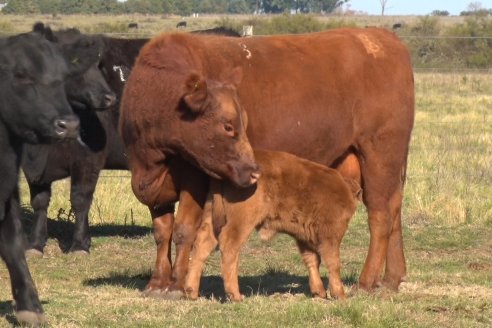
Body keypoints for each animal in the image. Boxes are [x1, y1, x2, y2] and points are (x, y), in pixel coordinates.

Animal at [0, 28, 101, 326]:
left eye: (64, 77)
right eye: (21, 75)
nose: (69, 125)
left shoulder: (8, 192)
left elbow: (13, 244)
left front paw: (30, 307)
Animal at [186, 150, 360, 302]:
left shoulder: (304, 237)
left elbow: (312, 260)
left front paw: (319, 292)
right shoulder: (330, 235)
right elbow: (333, 262)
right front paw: (340, 294)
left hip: (211, 217)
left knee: (202, 246)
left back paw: (191, 292)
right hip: (241, 221)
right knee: (229, 247)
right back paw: (235, 295)